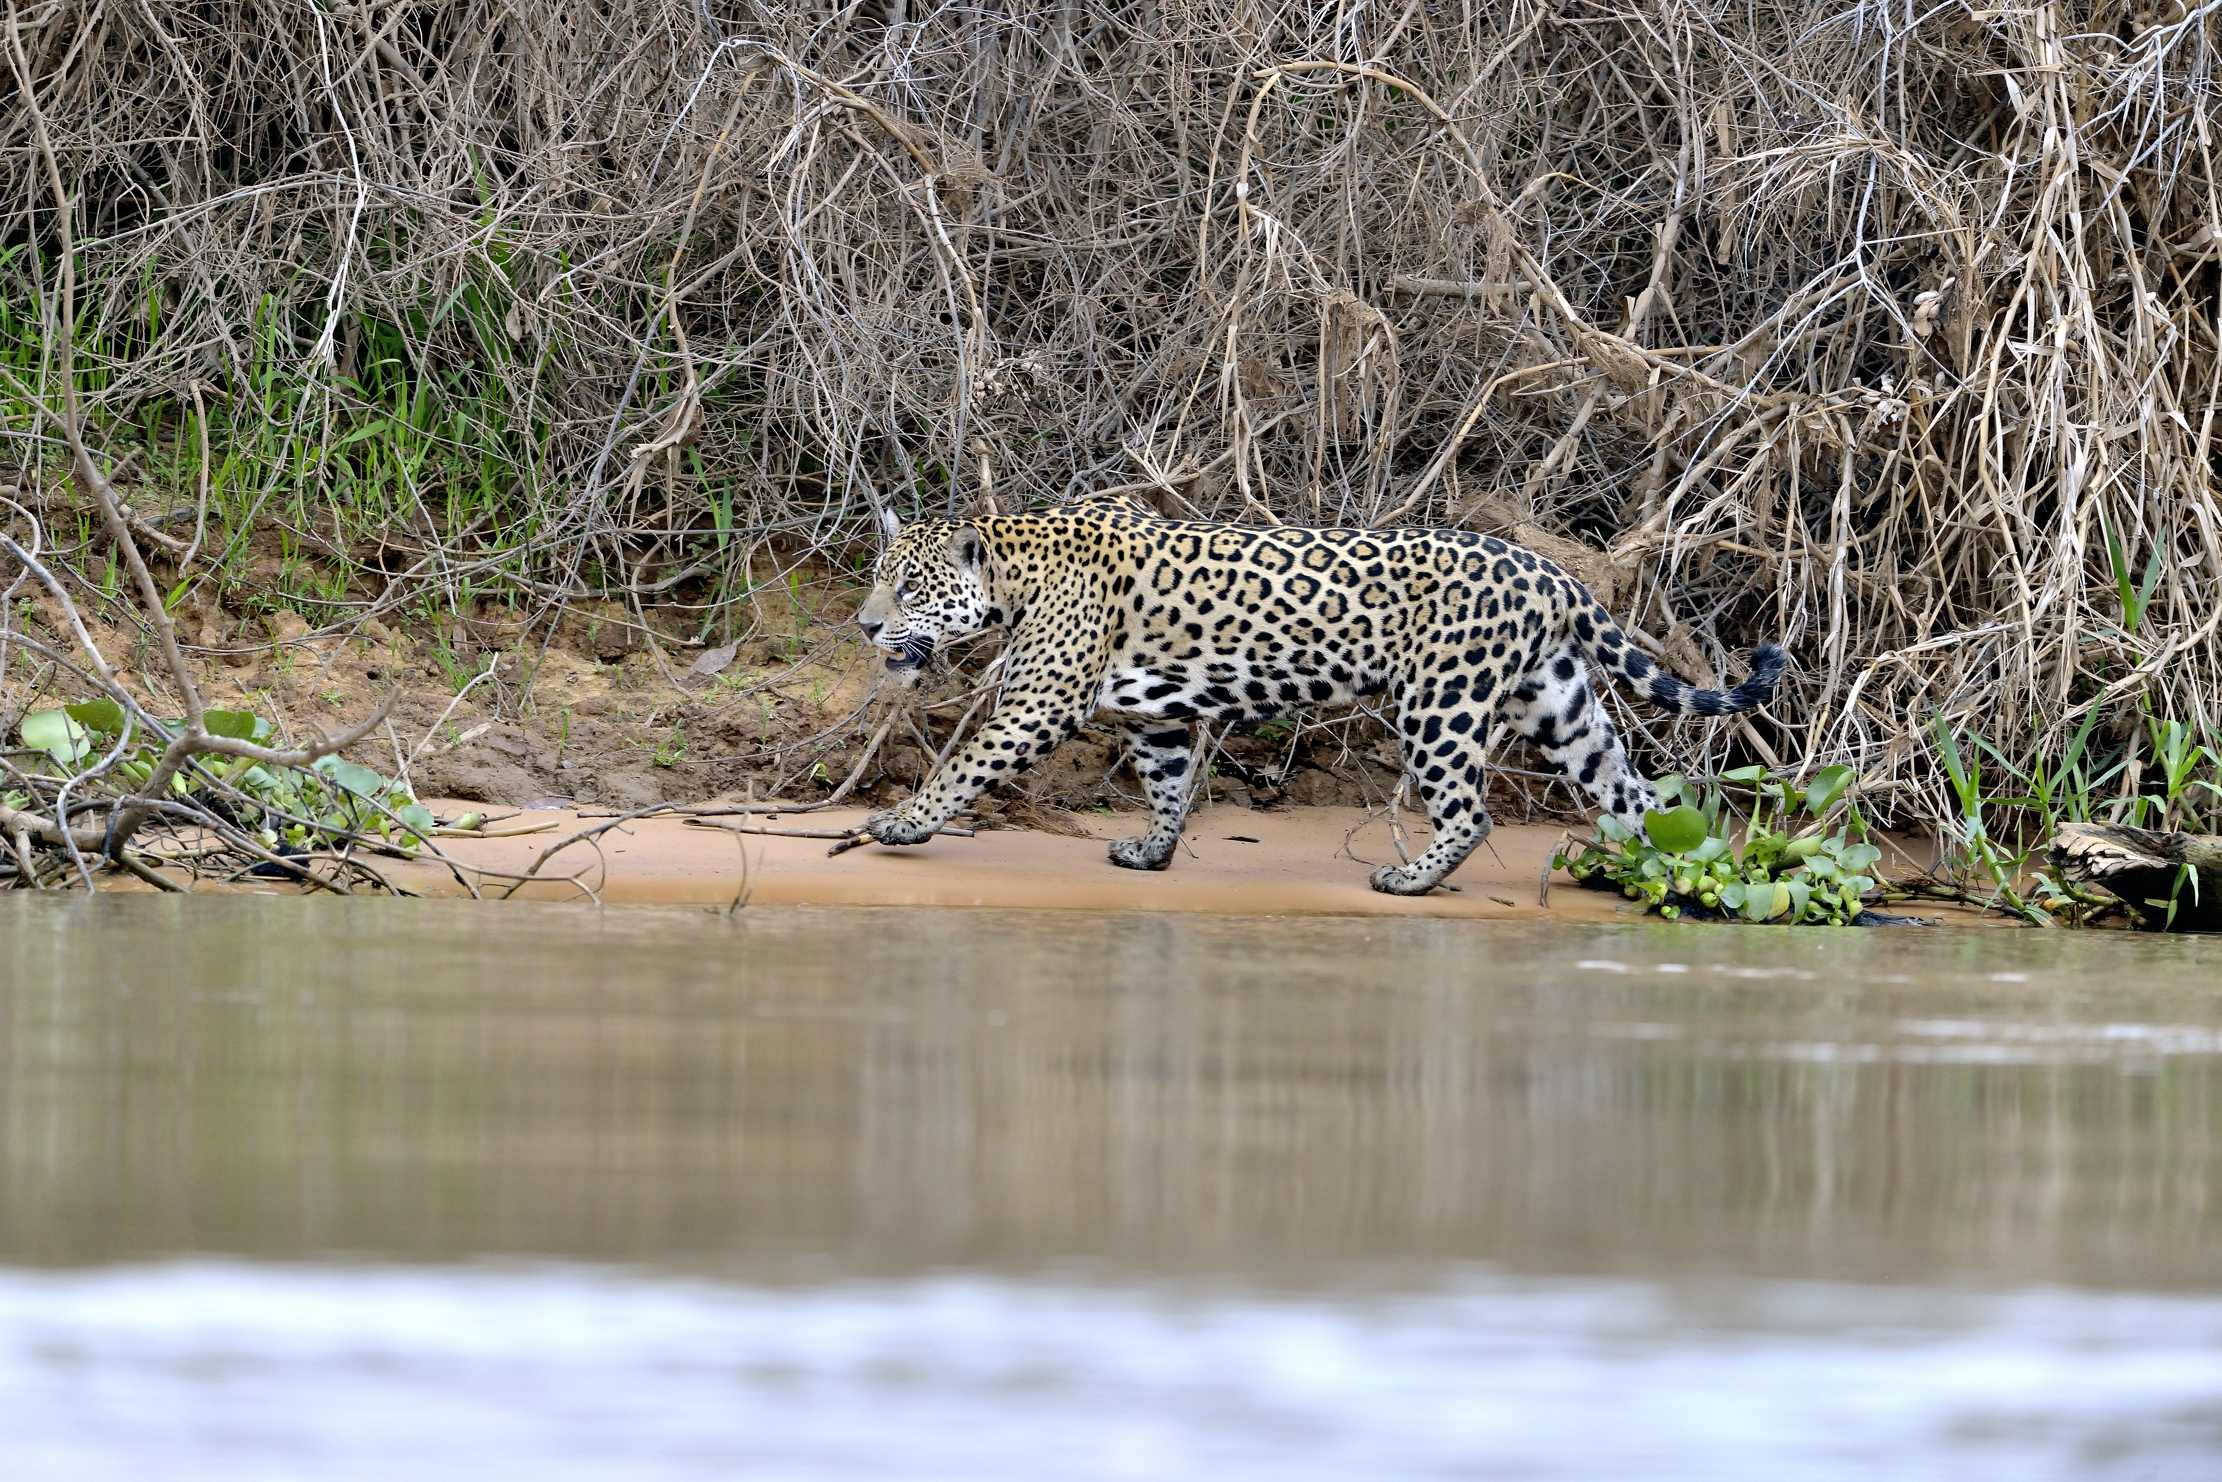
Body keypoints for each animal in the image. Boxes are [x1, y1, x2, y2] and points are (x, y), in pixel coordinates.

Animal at [852, 496, 1784, 895]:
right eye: (876, 579)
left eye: (910, 588)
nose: (865, 626)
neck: (1014, 573)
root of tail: (1548, 569)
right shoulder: (1159, 712)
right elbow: (1166, 782)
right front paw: (1153, 852)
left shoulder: (1041, 701)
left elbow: (965, 765)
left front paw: (902, 824)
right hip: (1556, 703)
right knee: (1634, 792)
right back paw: (1659, 868)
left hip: (1441, 702)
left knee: (1471, 809)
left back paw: (1411, 878)